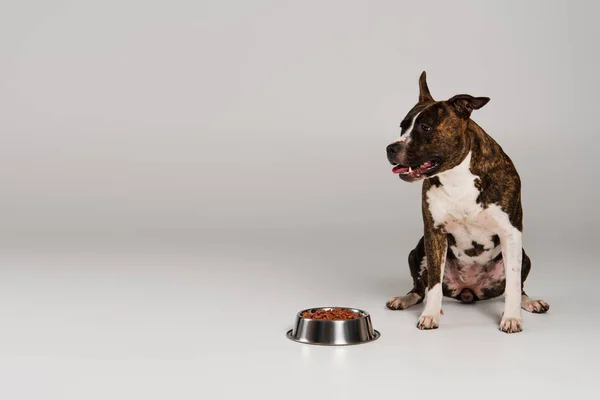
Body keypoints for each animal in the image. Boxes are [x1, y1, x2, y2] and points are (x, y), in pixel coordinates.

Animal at [384, 72, 548, 334]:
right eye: (403, 126)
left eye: (425, 127)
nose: (391, 148)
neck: (457, 176)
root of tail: (469, 290)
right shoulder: (434, 232)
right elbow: (433, 283)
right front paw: (431, 314)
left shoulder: (511, 233)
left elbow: (513, 285)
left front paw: (512, 318)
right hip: (417, 250)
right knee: (421, 287)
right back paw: (406, 299)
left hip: (524, 255)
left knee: (519, 287)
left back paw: (530, 302)